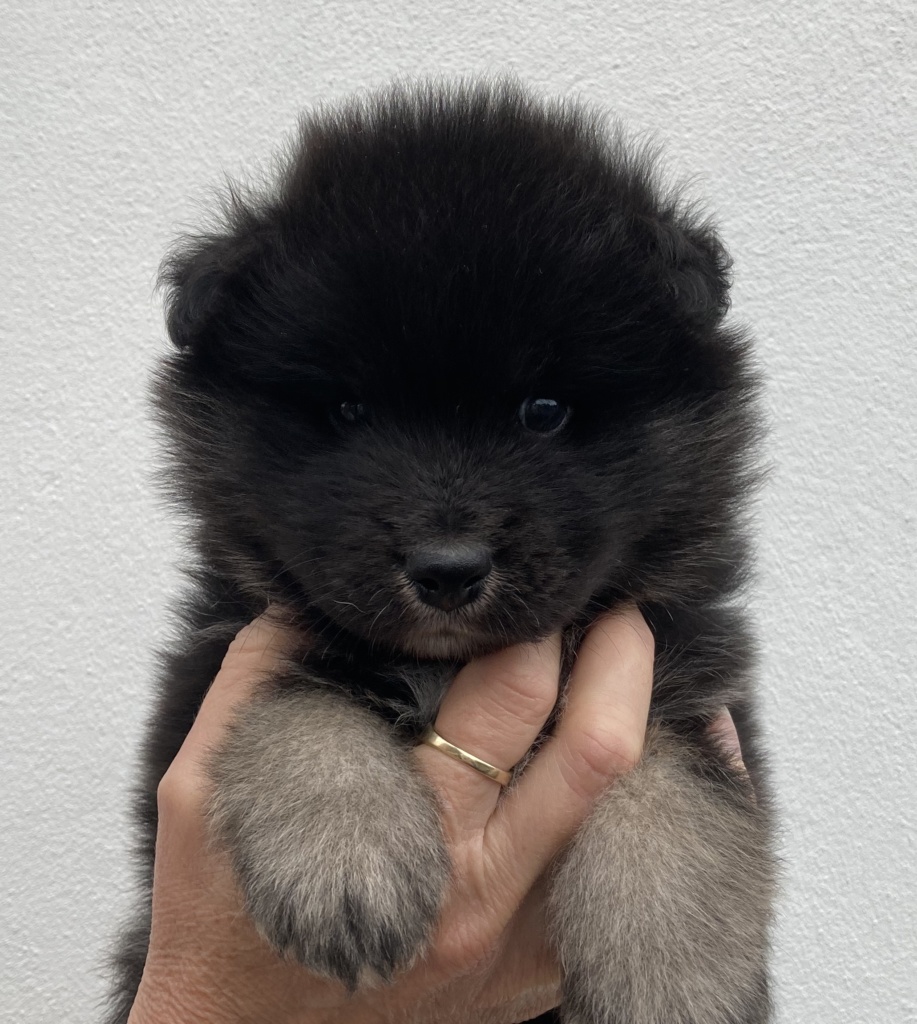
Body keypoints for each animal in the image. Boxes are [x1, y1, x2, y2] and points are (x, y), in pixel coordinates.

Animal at [111, 79, 777, 1024]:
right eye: (347, 411)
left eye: (544, 410)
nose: (448, 568)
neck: (448, 666)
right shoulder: (221, 657)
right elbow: (300, 705)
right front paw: (341, 855)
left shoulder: (684, 672)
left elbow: (675, 787)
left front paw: (670, 971)